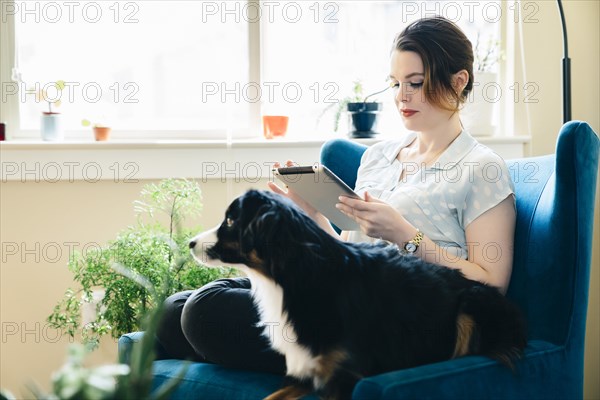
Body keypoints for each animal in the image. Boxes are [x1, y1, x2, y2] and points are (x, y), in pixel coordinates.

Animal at [190, 191, 528, 400]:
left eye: (231, 220)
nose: (190, 243)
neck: (297, 275)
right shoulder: (307, 368)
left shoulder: (344, 376)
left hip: (472, 302)